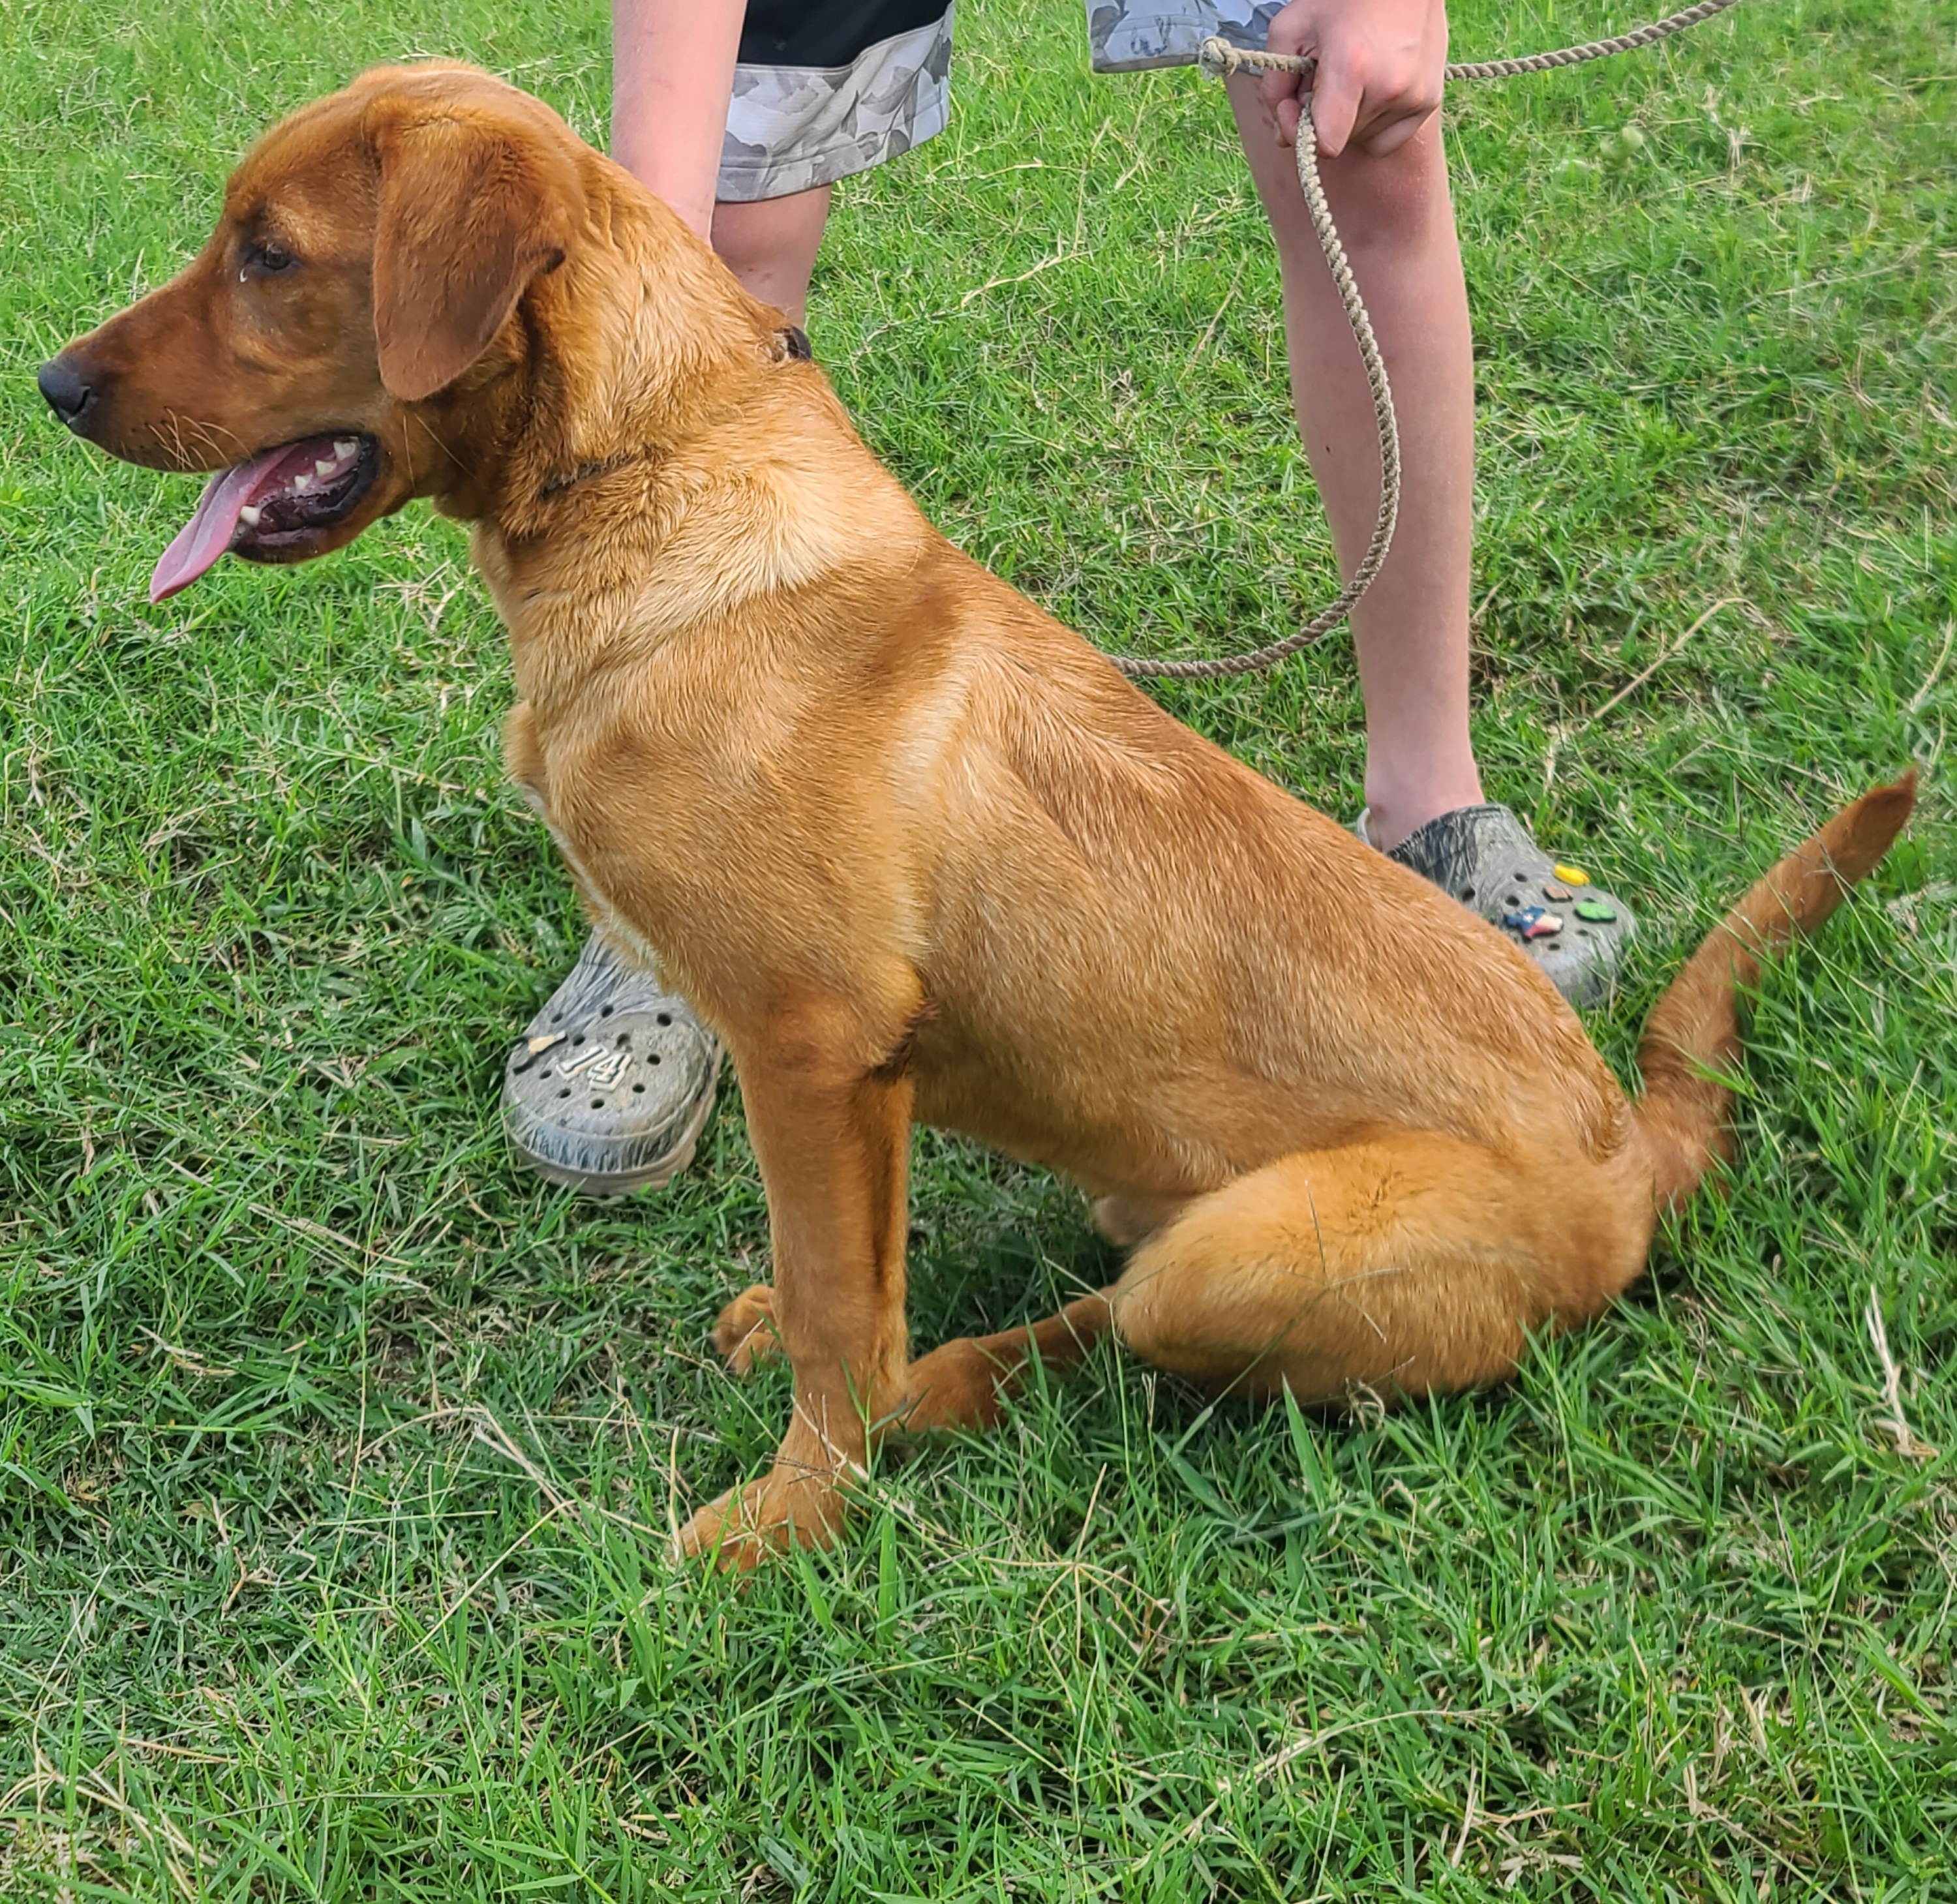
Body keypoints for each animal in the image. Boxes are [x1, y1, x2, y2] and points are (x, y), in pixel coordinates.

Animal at [42, 67, 1910, 1565]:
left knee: (1092, 1340)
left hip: (1233, 1256)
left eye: (268, 254)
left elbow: (835, 1318)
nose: (52, 384)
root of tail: (1625, 1153)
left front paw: (798, 1512)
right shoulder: (842, 1080)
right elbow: (843, 1282)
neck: (652, 468)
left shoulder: (811, 1048)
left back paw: (939, 1394)